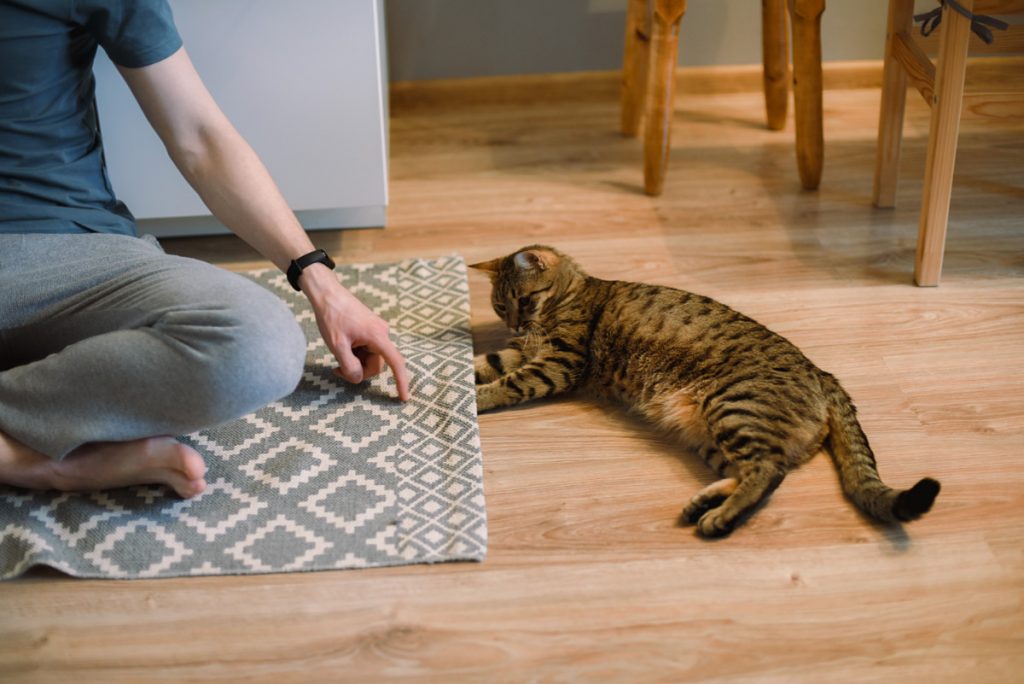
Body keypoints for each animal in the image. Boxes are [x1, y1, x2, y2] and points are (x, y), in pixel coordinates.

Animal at [468, 242, 937, 536]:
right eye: (500, 306)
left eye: (524, 300)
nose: (514, 324)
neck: (573, 293)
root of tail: (823, 373)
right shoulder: (522, 352)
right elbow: (487, 365)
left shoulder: (559, 362)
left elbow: (508, 383)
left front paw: (476, 399)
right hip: (710, 433)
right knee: (758, 473)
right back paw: (704, 505)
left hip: (734, 408)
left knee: (766, 472)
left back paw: (718, 520)